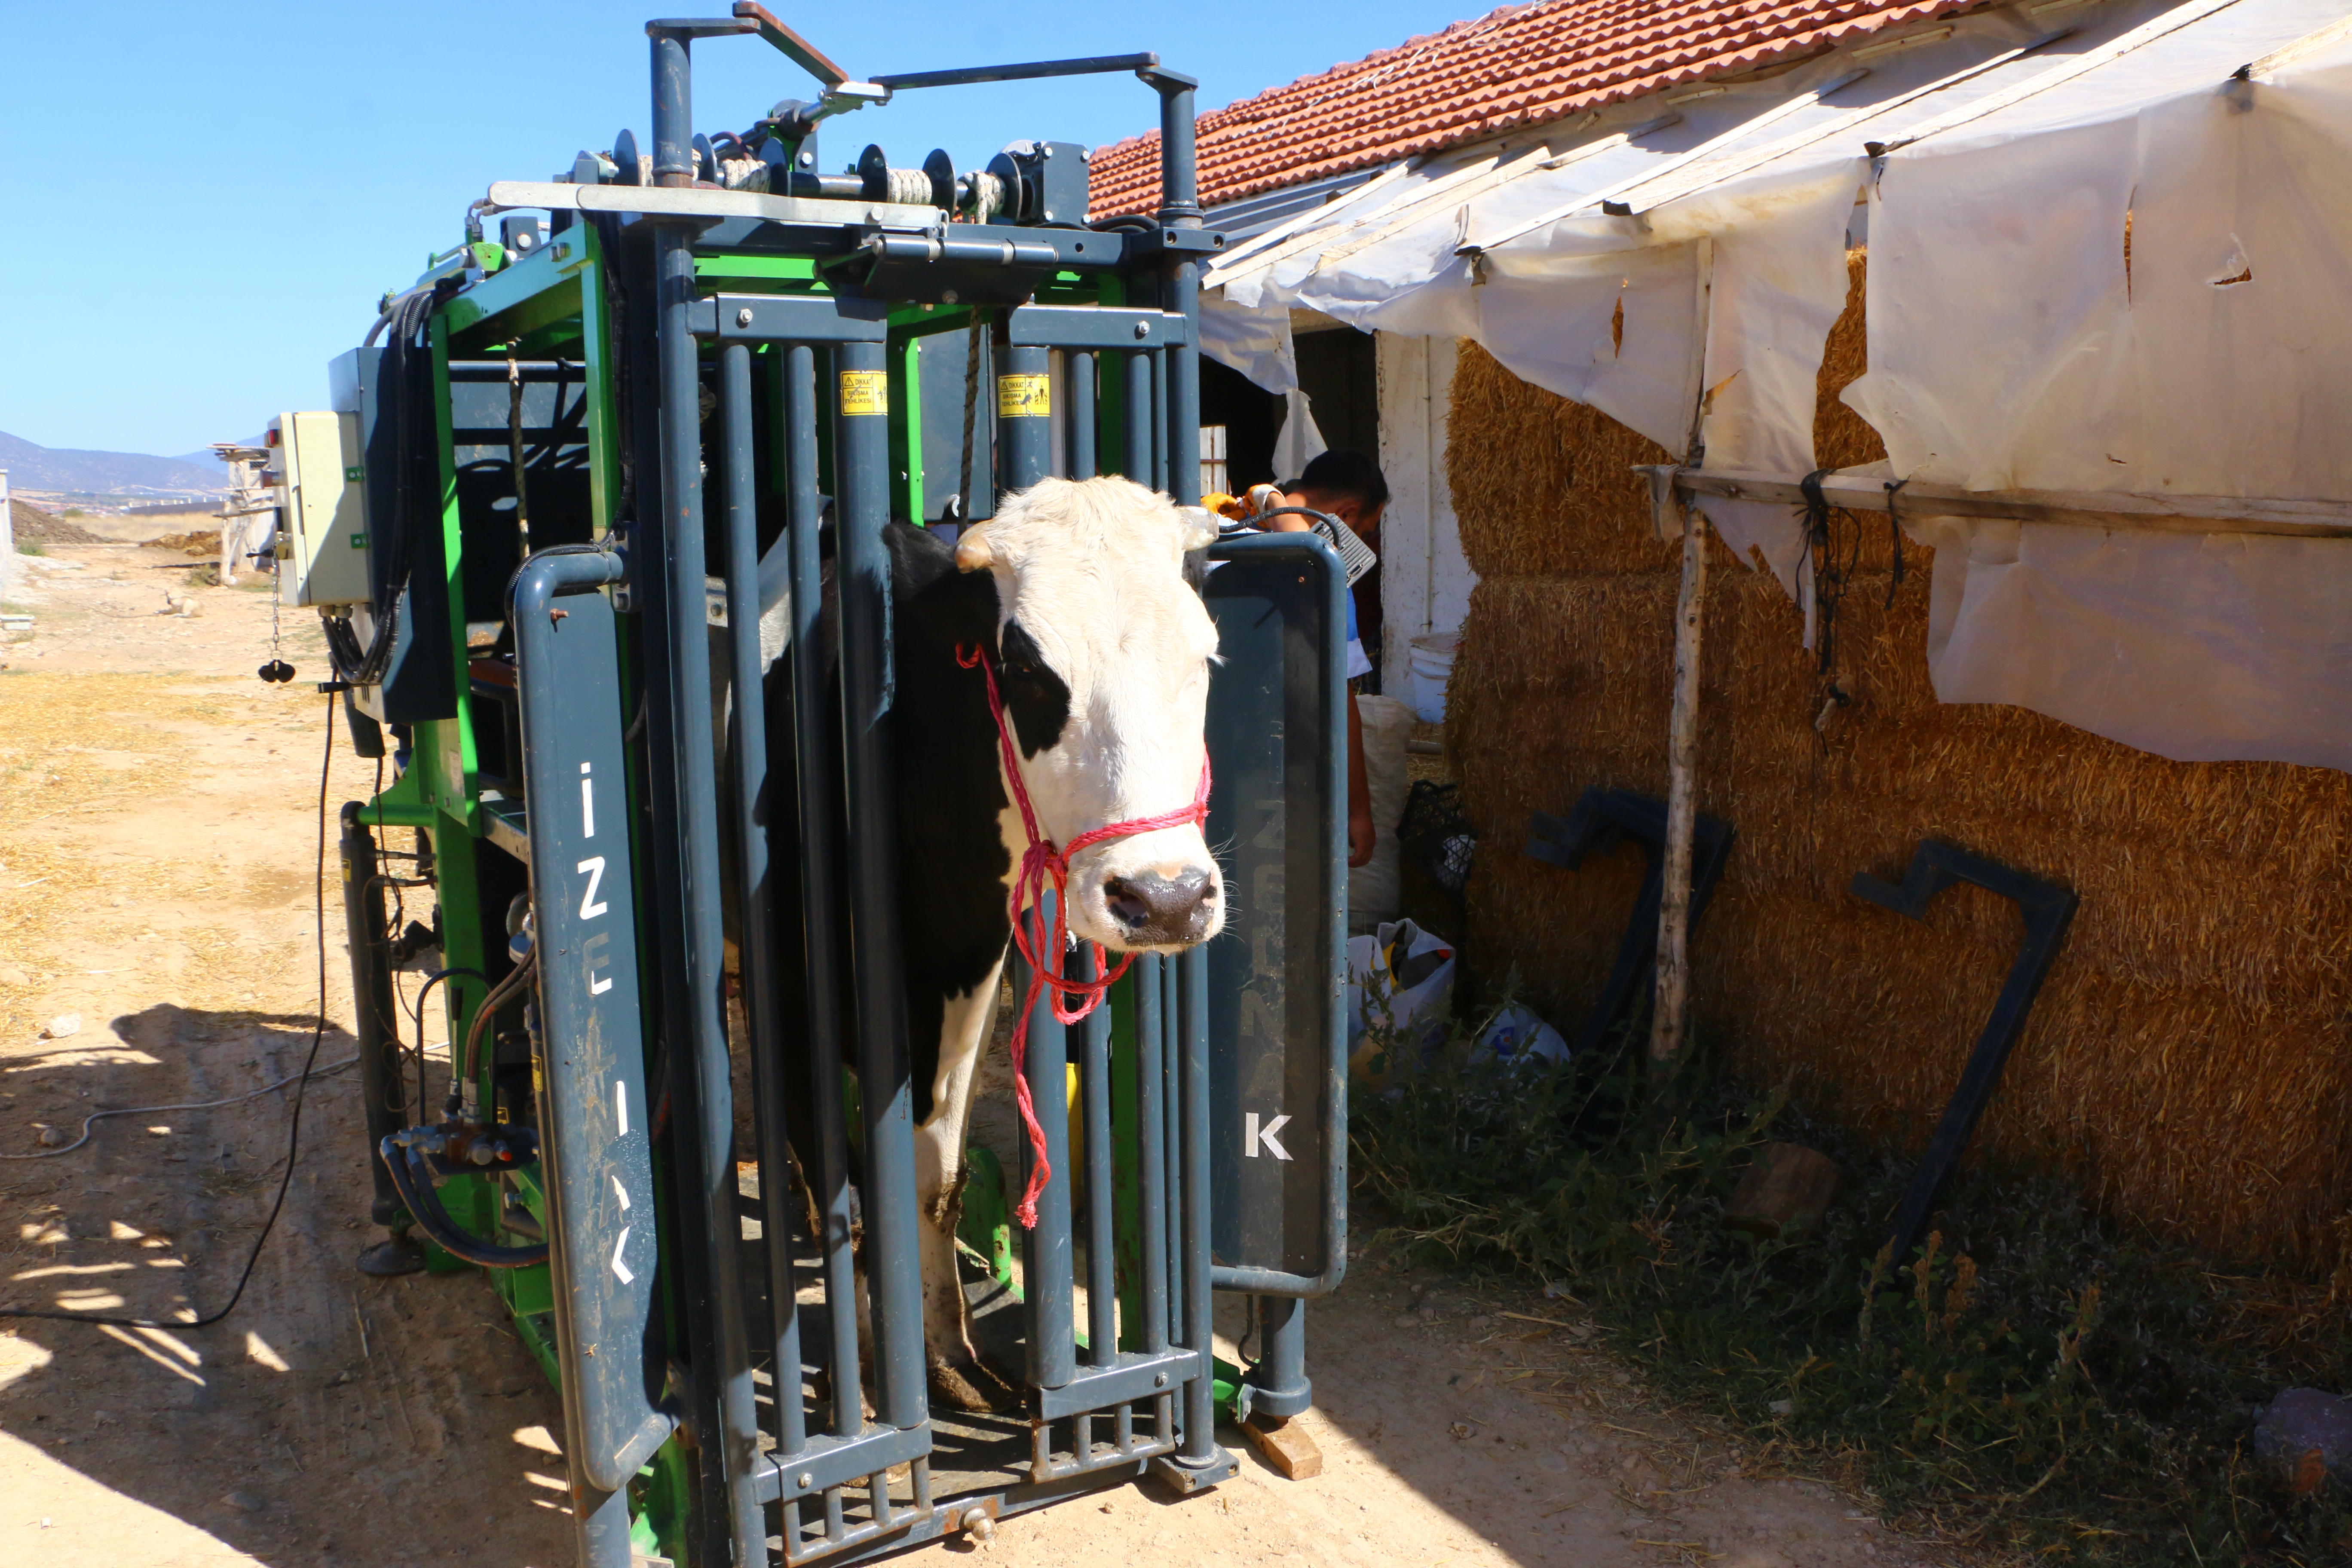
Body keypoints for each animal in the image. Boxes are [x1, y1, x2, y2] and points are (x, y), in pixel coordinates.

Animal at [771, 475, 1223, 1410]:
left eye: (1203, 657)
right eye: (1024, 671)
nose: (1164, 898)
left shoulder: (965, 972)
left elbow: (933, 1181)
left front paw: (948, 1356)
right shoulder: (795, 986)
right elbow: (845, 1187)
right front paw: (864, 1392)